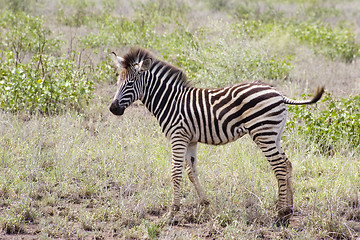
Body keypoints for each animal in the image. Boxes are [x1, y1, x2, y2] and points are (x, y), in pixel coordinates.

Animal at [108, 47, 324, 224]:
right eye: (118, 82)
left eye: (130, 84)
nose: (113, 109)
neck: (169, 101)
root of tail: (279, 94)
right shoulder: (191, 140)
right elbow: (191, 172)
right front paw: (205, 204)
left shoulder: (178, 137)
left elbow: (176, 173)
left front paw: (172, 213)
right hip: (275, 134)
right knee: (287, 164)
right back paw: (289, 210)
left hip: (263, 133)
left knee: (279, 167)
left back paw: (280, 214)